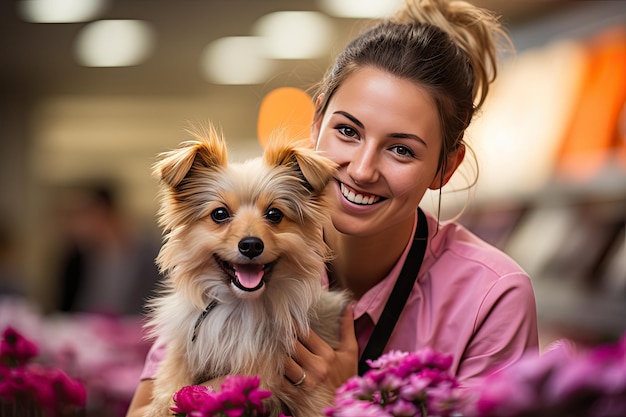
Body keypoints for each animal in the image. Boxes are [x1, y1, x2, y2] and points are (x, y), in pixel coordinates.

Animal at [144, 124, 348, 416]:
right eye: (219, 214)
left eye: (274, 214)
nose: (251, 244)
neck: (238, 308)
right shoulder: (180, 357)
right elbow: (166, 393)